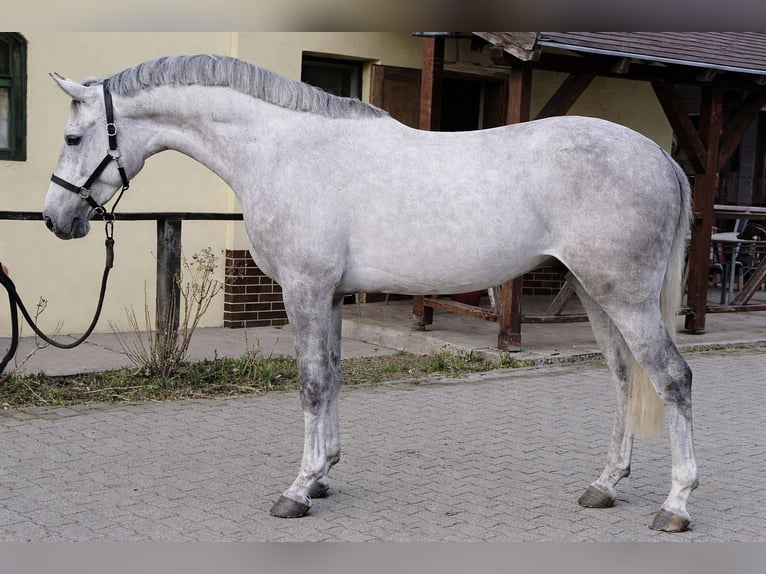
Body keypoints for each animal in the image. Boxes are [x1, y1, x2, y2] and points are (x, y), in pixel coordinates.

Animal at [43, 54, 696, 532]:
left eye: (73, 137)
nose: (55, 219)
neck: (282, 149)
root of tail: (661, 159)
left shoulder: (305, 289)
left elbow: (310, 384)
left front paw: (298, 490)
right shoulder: (331, 295)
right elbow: (332, 376)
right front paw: (324, 474)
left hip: (624, 295)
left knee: (671, 378)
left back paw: (676, 504)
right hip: (593, 290)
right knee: (622, 376)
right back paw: (605, 485)